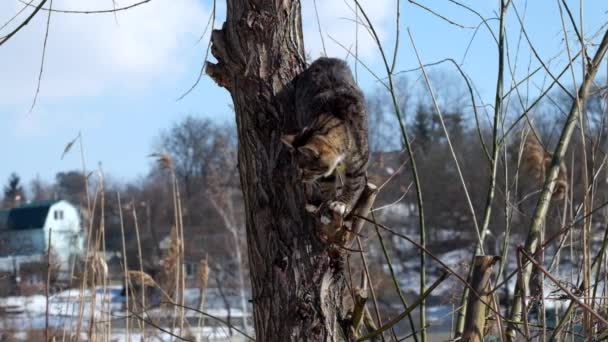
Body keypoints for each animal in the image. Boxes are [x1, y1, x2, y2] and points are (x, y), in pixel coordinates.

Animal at [282, 57, 370, 218]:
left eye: (305, 169)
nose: (300, 179)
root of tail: (323, 59)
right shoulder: (325, 174)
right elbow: (327, 185)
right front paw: (326, 204)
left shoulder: (359, 164)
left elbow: (353, 184)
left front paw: (342, 203)